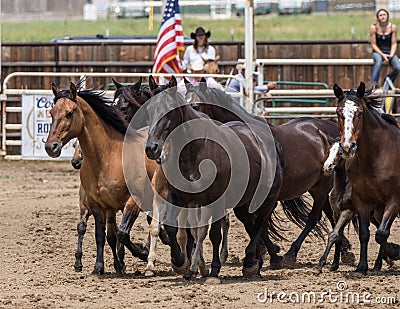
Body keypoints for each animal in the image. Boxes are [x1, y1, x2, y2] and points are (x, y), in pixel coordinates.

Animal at [45, 80, 155, 274]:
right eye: (51, 112)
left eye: (69, 113)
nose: (51, 146)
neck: (109, 156)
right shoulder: (98, 205)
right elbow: (101, 236)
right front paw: (98, 267)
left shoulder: (131, 202)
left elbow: (122, 234)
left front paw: (141, 252)